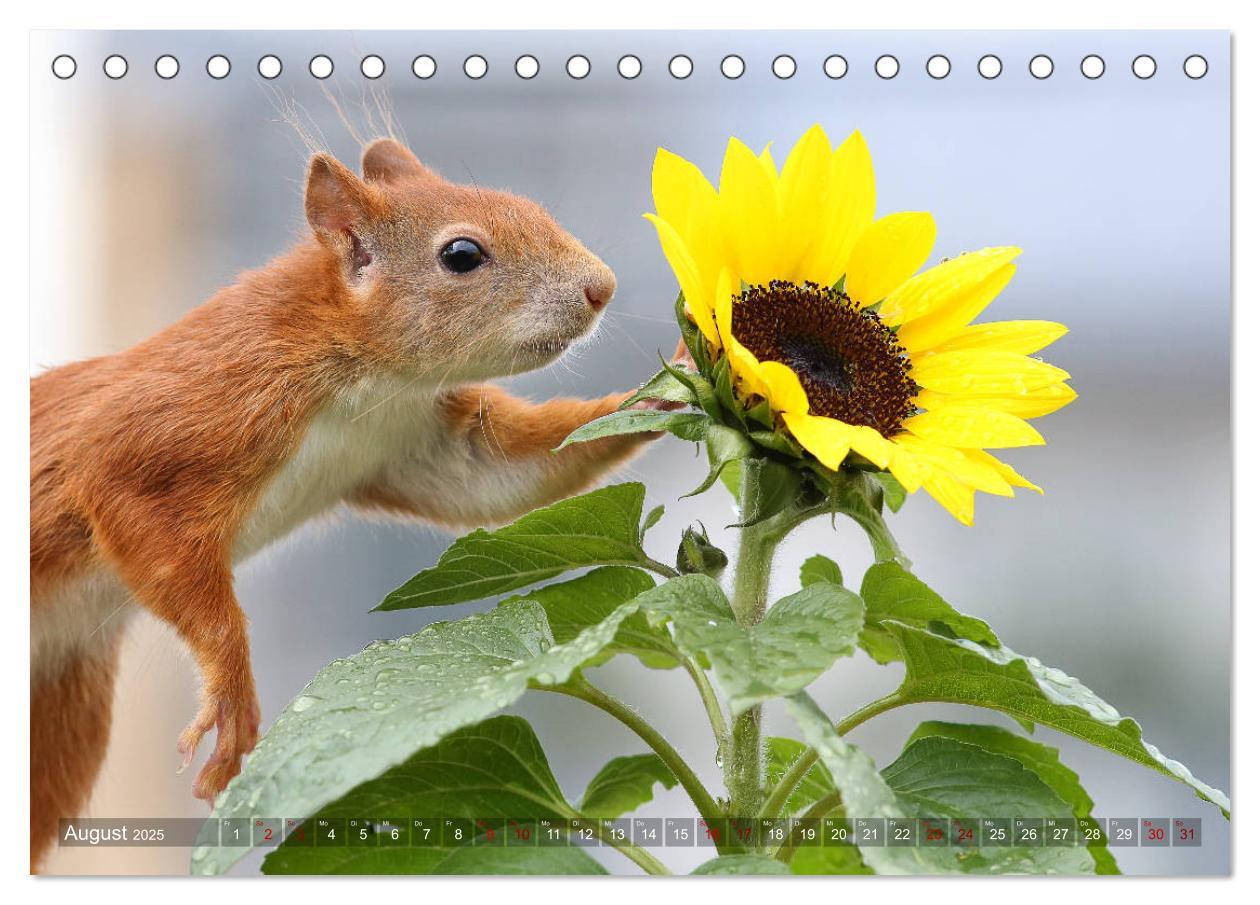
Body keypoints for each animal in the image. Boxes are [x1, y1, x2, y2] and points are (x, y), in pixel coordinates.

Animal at [27, 139, 680, 872]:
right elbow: (136, 512)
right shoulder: (183, 419)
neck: (369, 377)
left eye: (530, 204)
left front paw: (666, 390)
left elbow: (504, 479)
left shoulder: (415, 443)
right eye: (462, 255)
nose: (603, 286)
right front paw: (231, 693)